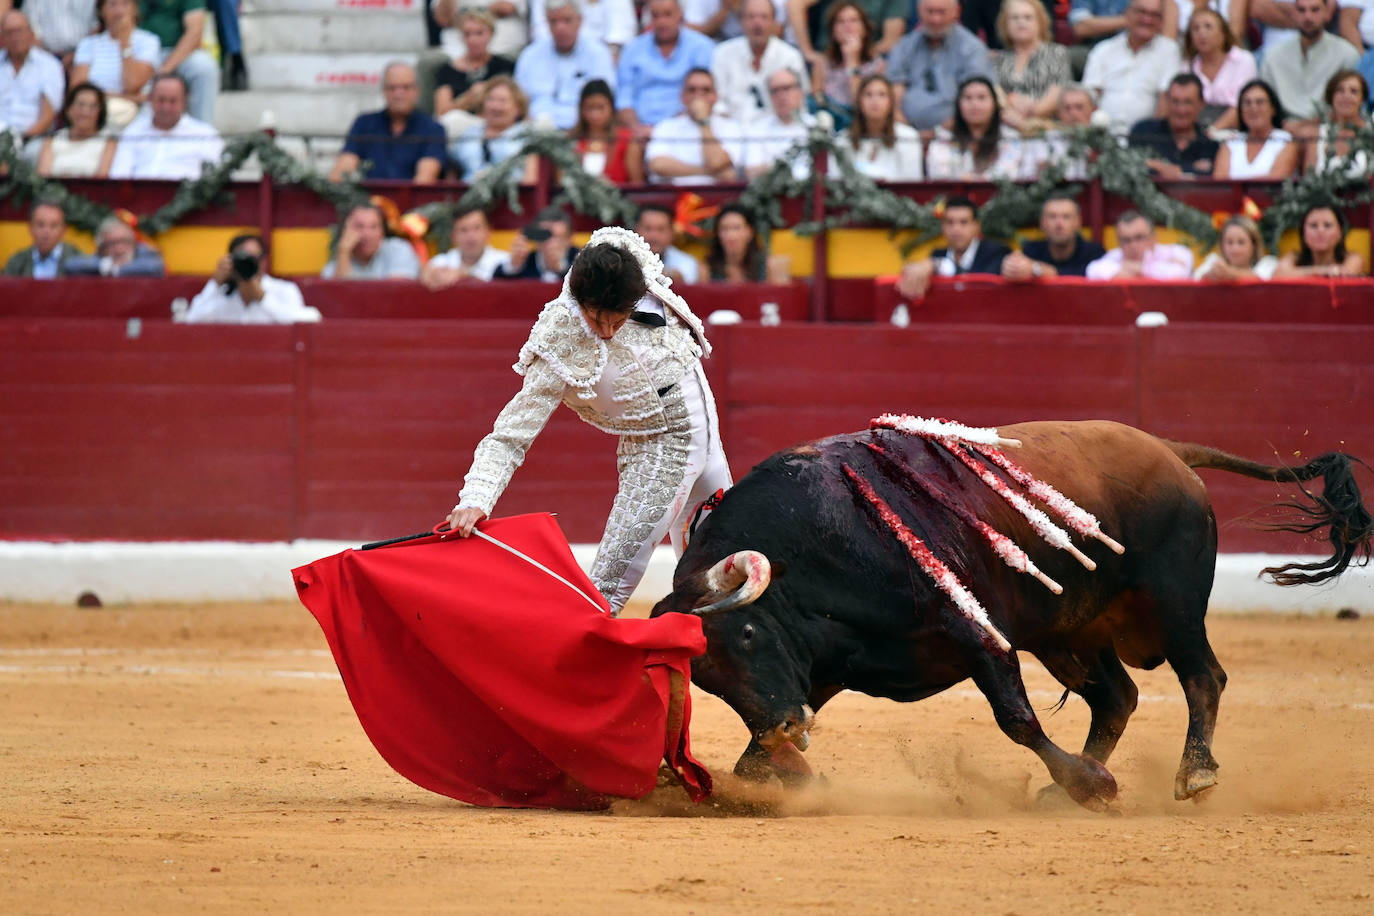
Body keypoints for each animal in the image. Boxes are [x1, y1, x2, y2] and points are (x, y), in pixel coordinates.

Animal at [648, 420, 1368, 807]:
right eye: (708, 679)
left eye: (747, 632)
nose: (785, 727)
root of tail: (1170, 451)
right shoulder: (825, 664)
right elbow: (753, 760)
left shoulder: (977, 632)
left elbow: (1016, 718)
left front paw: (1092, 785)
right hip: (1074, 628)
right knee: (1119, 696)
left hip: (1174, 604)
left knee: (1202, 678)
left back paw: (1193, 774)